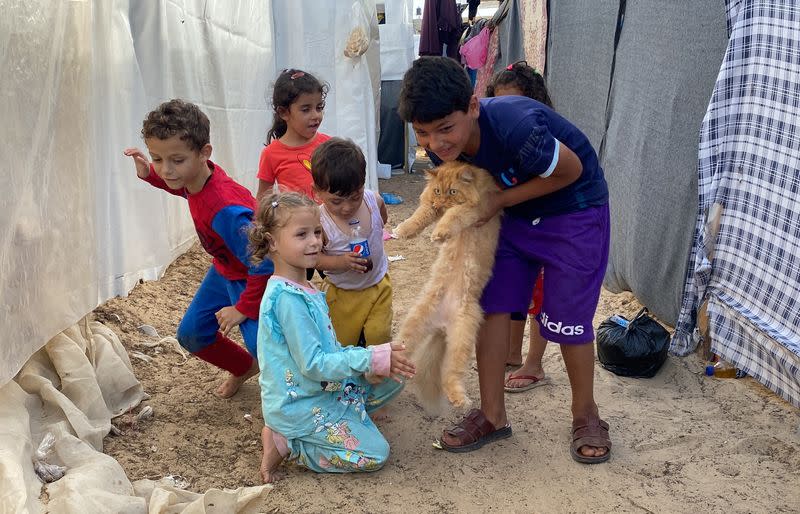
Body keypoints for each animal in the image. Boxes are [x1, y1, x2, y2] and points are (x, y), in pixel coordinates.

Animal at [392, 160, 500, 408]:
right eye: (437, 191)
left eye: (452, 192)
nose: (440, 203)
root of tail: (441, 326)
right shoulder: (429, 207)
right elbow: (419, 215)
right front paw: (402, 230)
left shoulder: (475, 209)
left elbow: (453, 214)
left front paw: (440, 232)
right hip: (413, 326)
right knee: (400, 353)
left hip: (461, 339)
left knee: (450, 376)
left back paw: (460, 400)